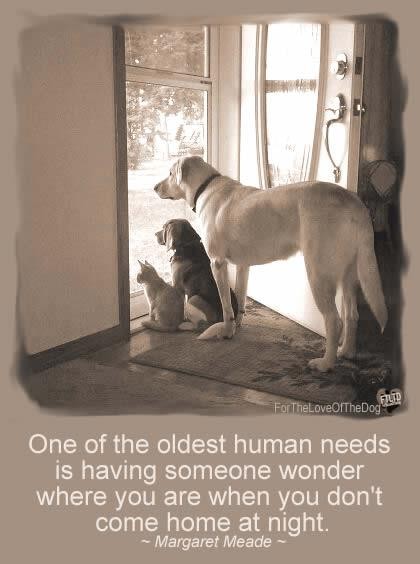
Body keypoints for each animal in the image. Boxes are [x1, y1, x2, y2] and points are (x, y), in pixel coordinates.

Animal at [153, 156, 387, 372]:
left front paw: (227, 331)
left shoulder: (217, 264)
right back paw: (345, 352)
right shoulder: (243, 266)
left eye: (170, 173)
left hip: (318, 274)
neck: (206, 187)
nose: (155, 187)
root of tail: (353, 201)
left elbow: (226, 306)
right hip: (350, 276)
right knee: (352, 315)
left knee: (334, 320)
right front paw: (237, 327)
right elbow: (240, 299)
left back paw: (325, 363)